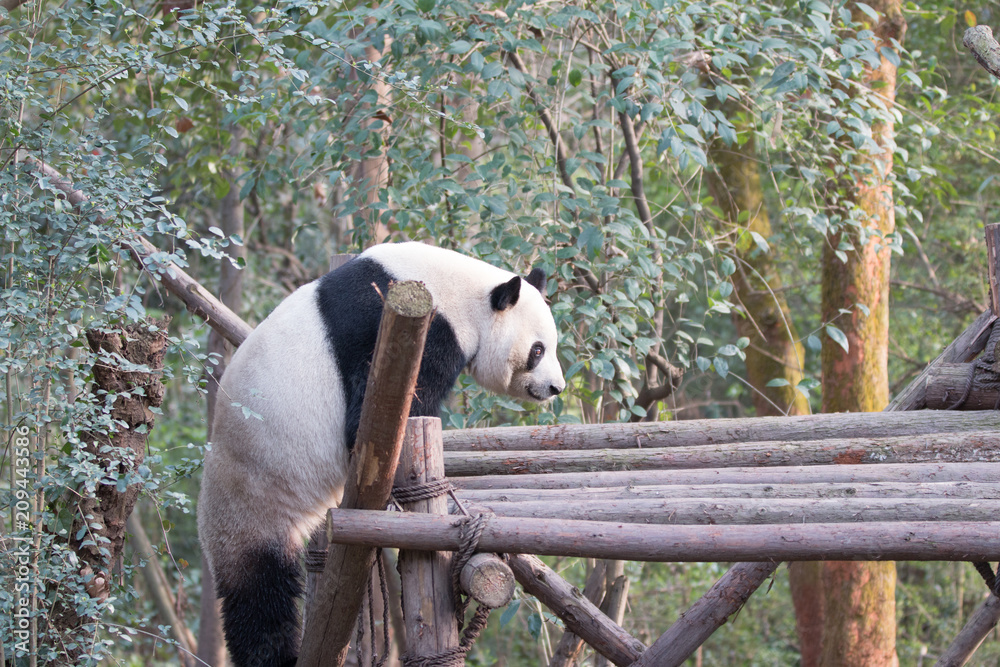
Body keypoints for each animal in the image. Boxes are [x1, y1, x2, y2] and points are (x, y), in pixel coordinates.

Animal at [195, 241, 564, 667]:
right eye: (537, 350)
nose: (556, 388)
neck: (460, 291)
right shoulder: (406, 329)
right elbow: (380, 414)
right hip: (253, 498)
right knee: (259, 596)